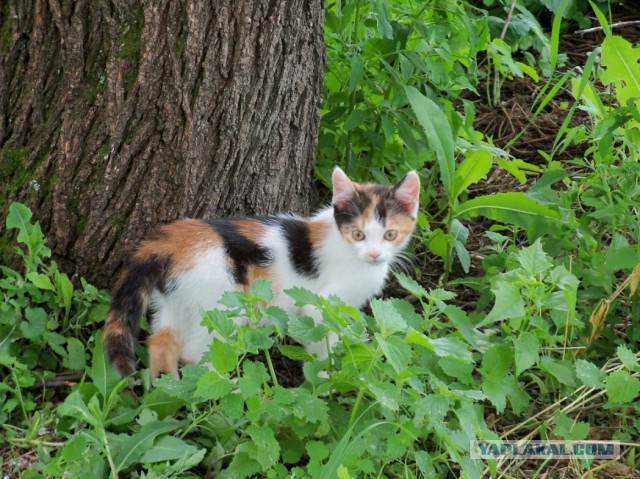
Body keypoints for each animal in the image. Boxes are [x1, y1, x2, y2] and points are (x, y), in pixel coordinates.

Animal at [104, 168, 420, 378]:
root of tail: (169, 241)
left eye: (390, 234)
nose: (375, 254)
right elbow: (322, 343)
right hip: (221, 303)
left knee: (161, 344)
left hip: (177, 300)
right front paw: (323, 378)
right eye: (358, 234)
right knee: (195, 352)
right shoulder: (321, 305)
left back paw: (167, 394)